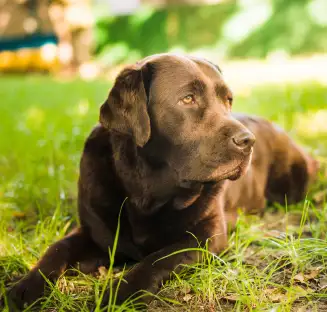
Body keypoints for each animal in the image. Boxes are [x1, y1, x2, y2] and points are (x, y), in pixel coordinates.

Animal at [4, 53, 318, 310]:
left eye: (228, 100)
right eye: (188, 99)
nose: (247, 141)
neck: (148, 191)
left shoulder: (206, 235)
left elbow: (158, 257)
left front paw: (121, 293)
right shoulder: (96, 233)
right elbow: (57, 249)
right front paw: (25, 287)